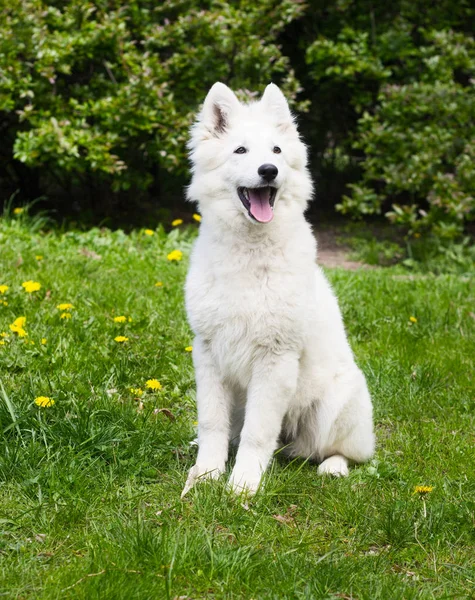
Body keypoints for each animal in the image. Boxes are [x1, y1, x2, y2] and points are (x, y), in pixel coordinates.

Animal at [182, 84, 376, 496]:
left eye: (276, 151)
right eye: (240, 151)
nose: (268, 171)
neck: (249, 253)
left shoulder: (275, 361)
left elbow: (257, 434)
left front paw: (242, 485)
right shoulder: (208, 355)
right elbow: (212, 423)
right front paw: (205, 474)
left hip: (336, 406)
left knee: (343, 452)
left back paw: (333, 467)